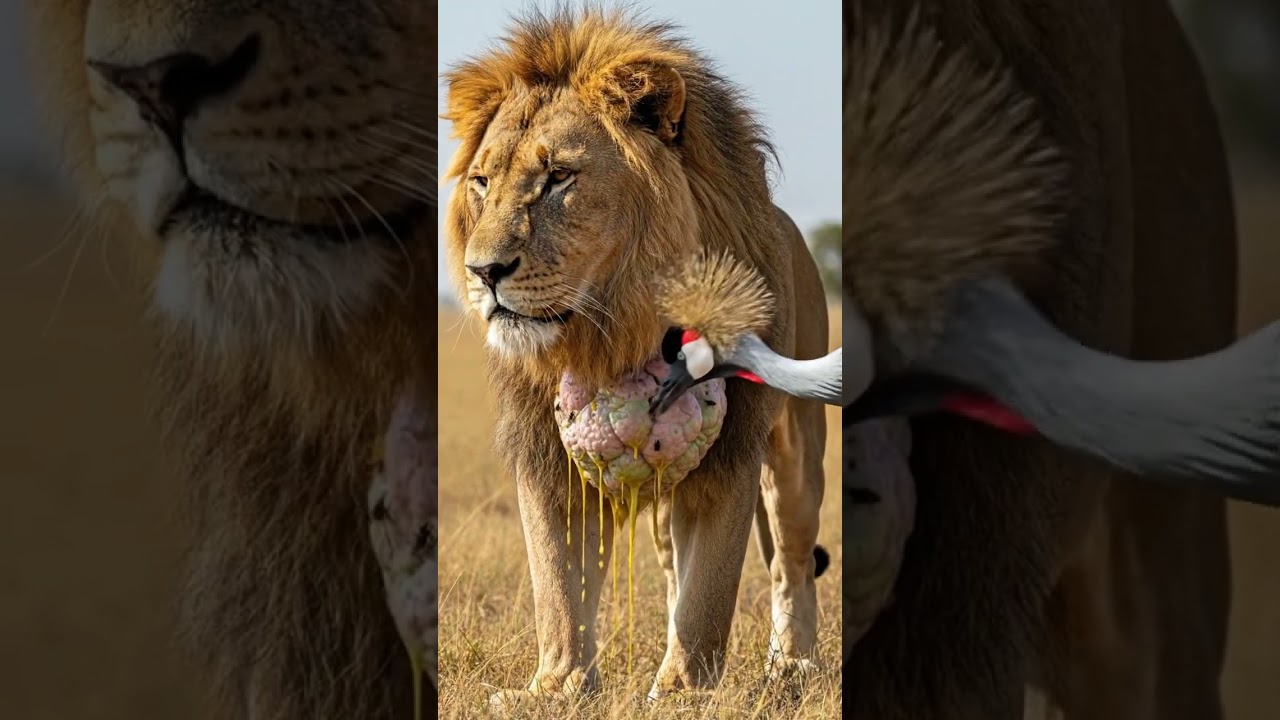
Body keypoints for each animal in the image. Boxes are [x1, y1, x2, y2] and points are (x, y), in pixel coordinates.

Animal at [441, 7, 832, 702]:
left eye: (558, 178)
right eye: (482, 183)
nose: (482, 272)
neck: (615, 329)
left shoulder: (732, 450)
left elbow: (711, 592)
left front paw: (684, 693)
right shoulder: (547, 452)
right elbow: (557, 583)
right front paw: (557, 686)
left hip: (796, 453)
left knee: (791, 559)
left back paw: (792, 666)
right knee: (676, 559)